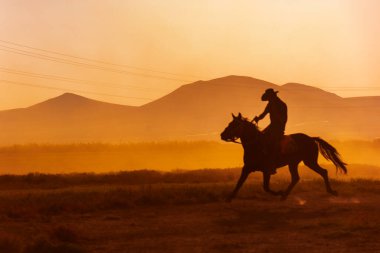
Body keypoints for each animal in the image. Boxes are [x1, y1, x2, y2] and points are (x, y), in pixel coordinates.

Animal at [220, 112, 348, 202]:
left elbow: (266, 187)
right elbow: (239, 183)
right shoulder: (246, 168)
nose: (222, 135)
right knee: (296, 178)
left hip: (309, 161)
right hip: (294, 163)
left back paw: (331, 191)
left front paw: (279, 192)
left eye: (235, 125)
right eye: (229, 124)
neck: (256, 145)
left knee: (323, 172)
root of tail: (311, 138)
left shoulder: (267, 170)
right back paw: (285, 195)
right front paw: (229, 198)